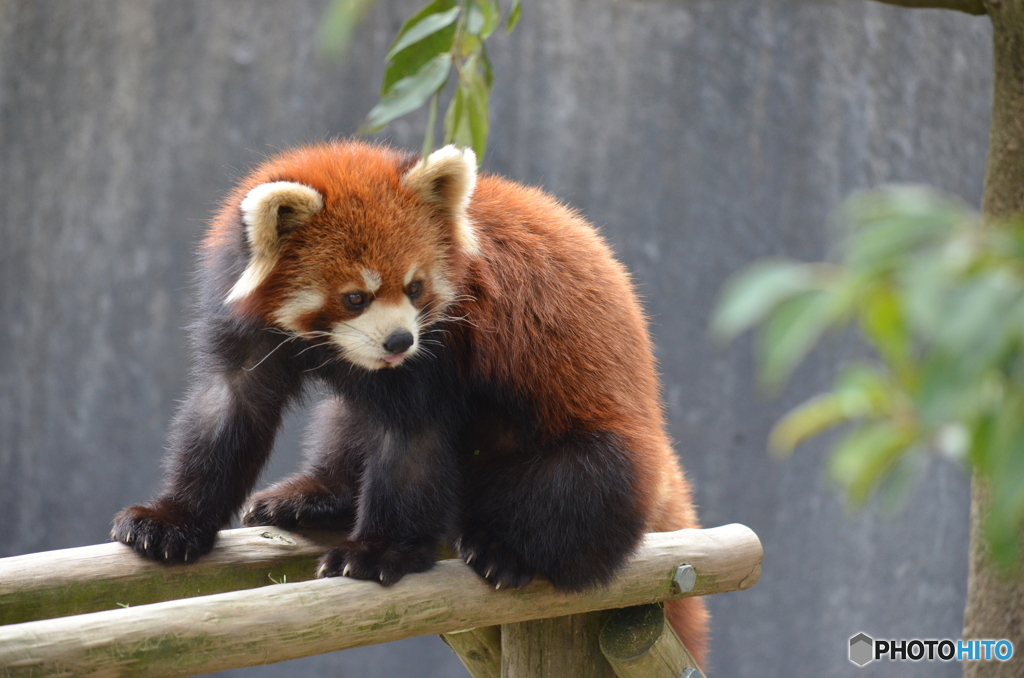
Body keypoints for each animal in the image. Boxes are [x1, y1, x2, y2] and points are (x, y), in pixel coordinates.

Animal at [110, 139, 704, 663]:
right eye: (356, 296)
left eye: (415, 288)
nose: (399, 340)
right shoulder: (247, 332)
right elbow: (227, 409)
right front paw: (172, 521)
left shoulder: (445, 343)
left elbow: (414, 438)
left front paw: (379, 553)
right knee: (347, 421)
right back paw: (316, 496)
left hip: (603, 446)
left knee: (580, 489)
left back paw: (506, 551)